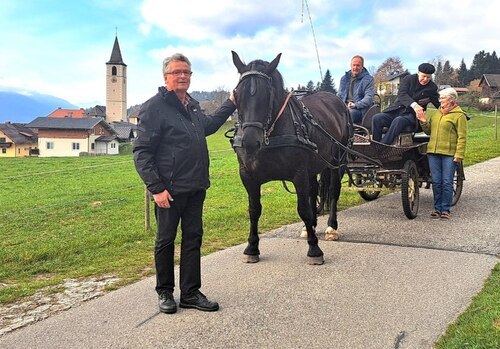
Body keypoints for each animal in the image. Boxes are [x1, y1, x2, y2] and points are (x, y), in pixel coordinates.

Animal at [230, 51, 352, 264]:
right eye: (237, 94)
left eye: (268, 94)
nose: (250, 142)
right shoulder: (248, 176)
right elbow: (254, 210)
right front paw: (252, 247)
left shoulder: (299, 174)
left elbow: (303, 209)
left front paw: (314, 249)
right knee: (314, 191)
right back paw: (310, 227)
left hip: (338, 160)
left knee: (333, 189)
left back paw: (331, 227)